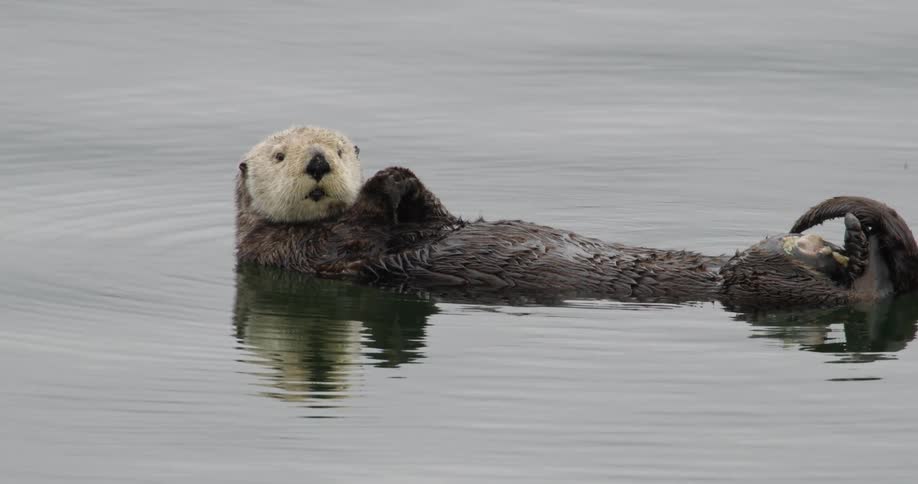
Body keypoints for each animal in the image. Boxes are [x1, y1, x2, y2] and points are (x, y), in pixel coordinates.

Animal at [235, 127, 918, 307]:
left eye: (339, 146)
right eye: (281, 153)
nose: (319, 161)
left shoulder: (431, 220)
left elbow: (437, 213)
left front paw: (401, 180)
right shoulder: (299, 253)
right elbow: (353, 238)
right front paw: (387, 185)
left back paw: (854, 241)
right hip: (758, 284)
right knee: (848, 295)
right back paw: (860, 255)